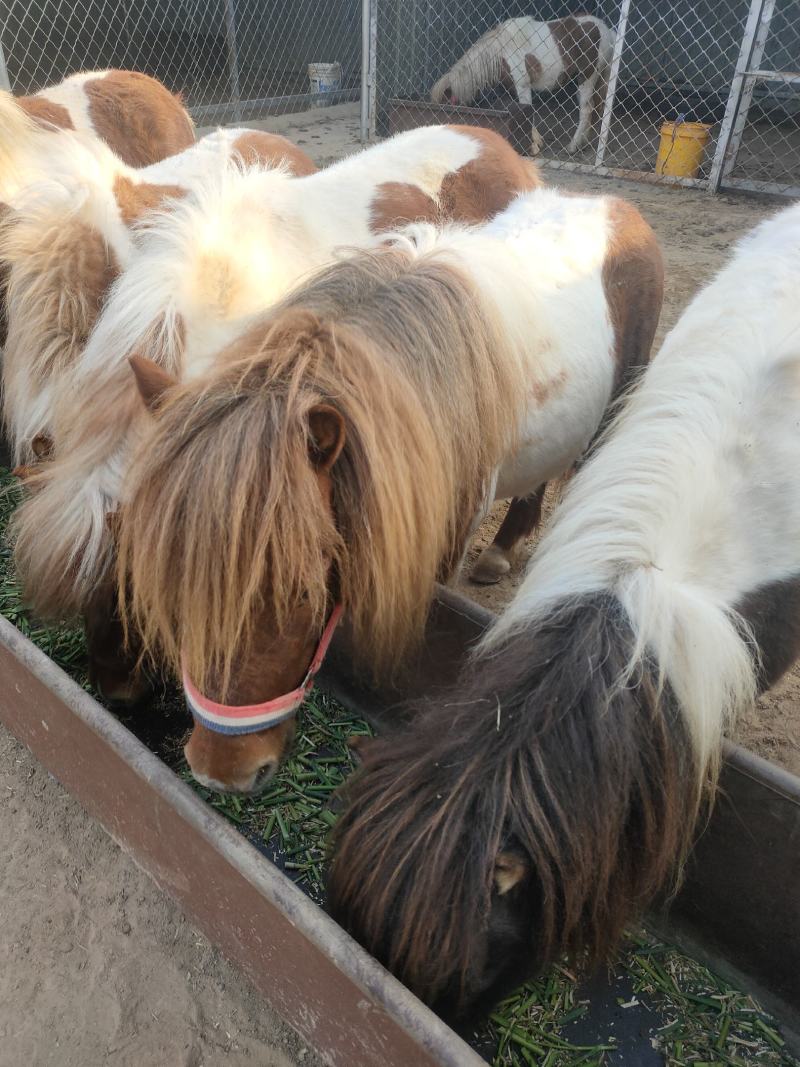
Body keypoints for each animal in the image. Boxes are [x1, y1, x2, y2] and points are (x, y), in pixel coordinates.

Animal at [431, 15, 615, 154]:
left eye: (445, 105)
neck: (500, 52)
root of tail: (606, 30)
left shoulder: (522, 86)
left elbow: (527, 110)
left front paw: (533, 146)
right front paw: (536, 142)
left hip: (587, 77)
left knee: (586, 109)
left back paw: (573, 146)